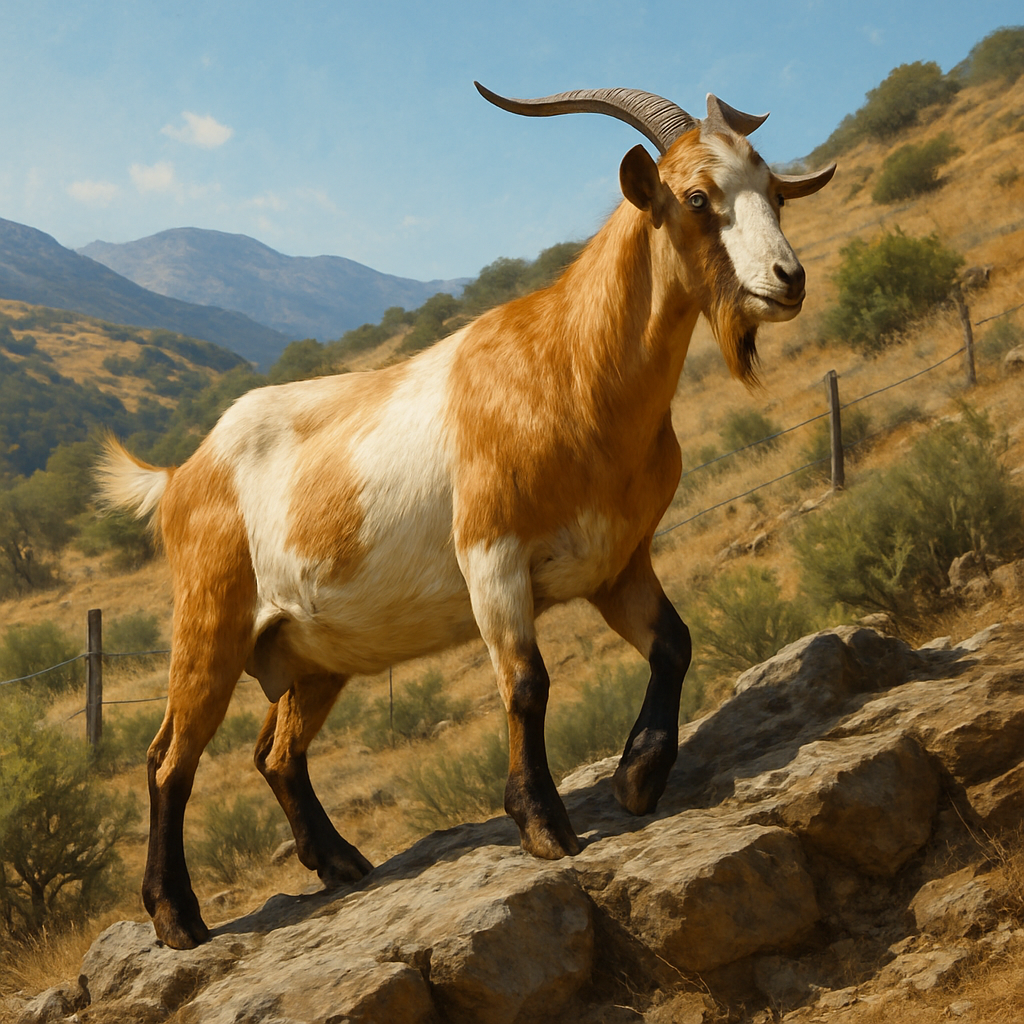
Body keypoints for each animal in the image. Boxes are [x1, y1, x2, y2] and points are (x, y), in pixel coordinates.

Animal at [97, 83, 835, 949]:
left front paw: (638, 776)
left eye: (775, 191)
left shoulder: (617, 562)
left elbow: (675, 644)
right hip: (210, 621)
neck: (569, 368)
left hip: (312, 652)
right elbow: (527, 683)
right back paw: (178, 917)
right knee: (168, 759)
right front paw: (544, 826)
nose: (788, 279)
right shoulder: (492, 556)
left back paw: (341, 863)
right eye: (695, 197)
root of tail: (182, 473)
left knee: (274, 752)